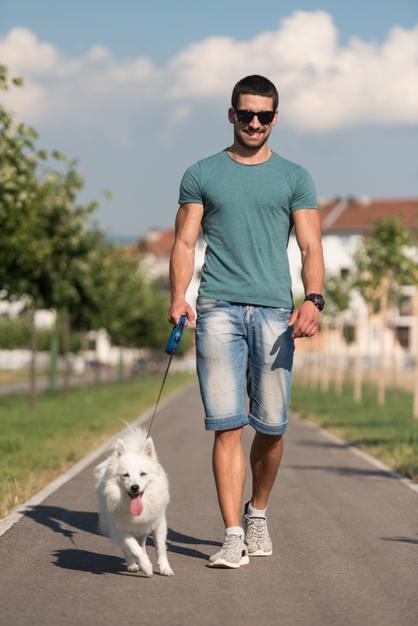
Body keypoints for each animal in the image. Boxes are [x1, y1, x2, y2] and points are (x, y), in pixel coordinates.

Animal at [94, 426, 173, 572]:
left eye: (143, 474)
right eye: (125, 475)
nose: (135, 487)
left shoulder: (158, 525)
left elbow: (160, 548)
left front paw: (165, 568)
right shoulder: (121, 529)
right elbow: (134, 548)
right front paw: (146, 566)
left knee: (142, 543)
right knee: (128, 549)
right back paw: (132, 565)